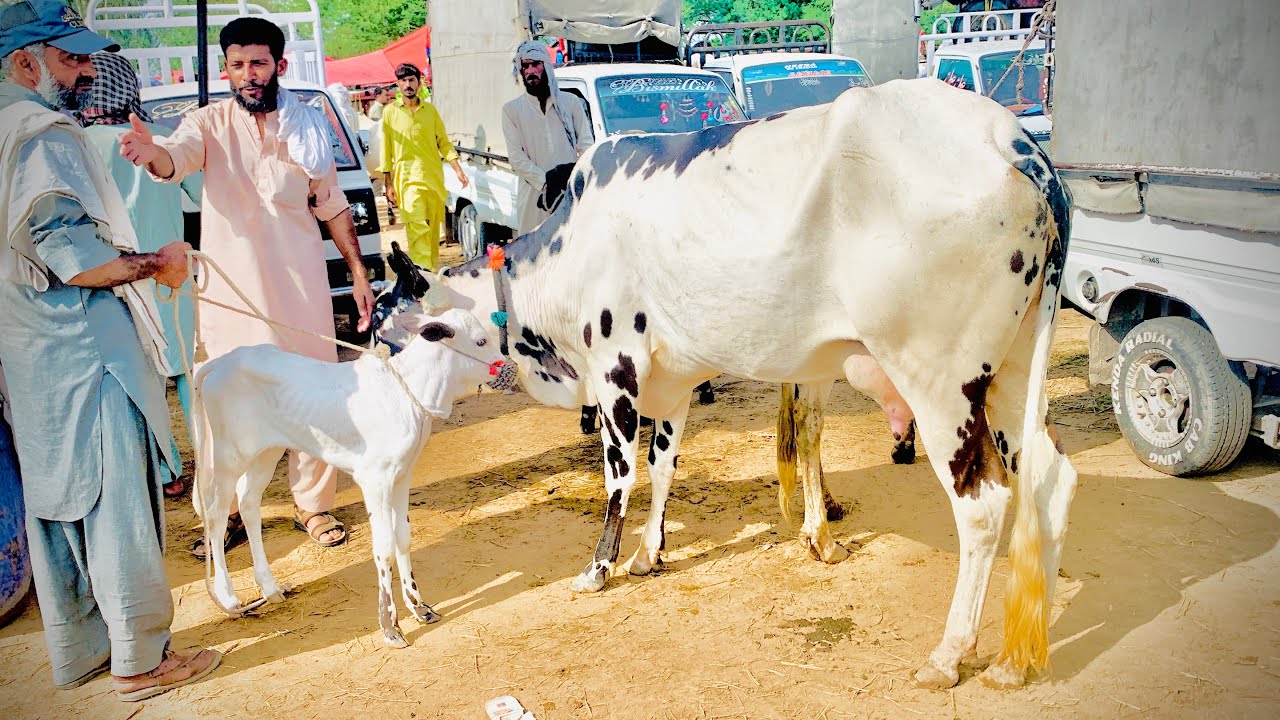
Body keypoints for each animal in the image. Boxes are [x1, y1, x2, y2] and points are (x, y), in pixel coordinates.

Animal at [193, 308, 512, 647]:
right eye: (480, 341)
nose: (509, 367)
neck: (407, 394)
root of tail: (224, 361)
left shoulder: (402, 475)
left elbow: (403, 536)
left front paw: (419, 607)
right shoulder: (375, 480)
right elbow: (384, 546)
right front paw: (390, 625)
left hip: (266, 452)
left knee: (249, 504)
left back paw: (271, 587)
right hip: (228, 456)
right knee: (216, 515)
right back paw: (228, 597)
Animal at [422, 78, 1075, 689]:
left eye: (427, 331)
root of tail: (1011, 140)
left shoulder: (614, 367)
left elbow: (620, 476)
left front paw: (599, 569)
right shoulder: (671, 382)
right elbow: (663, 466)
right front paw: (649, 553)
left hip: (941, 385)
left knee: (984, 505)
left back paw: (950, 654)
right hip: (1014, 373)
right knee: (1050, 479)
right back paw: (1017, 656)